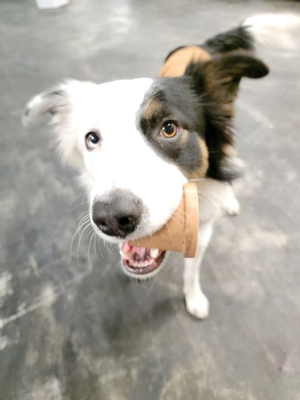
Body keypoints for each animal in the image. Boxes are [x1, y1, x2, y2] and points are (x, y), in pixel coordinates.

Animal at [23, 14, 300, 318]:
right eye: (92, 139)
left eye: (169, 128)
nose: (112, 219)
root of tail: (201, 45)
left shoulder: (201, 231)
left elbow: (192, 270)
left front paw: (194, 298)